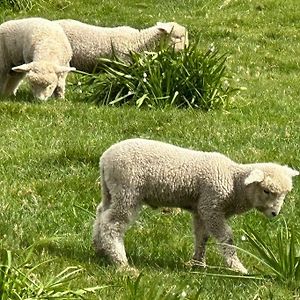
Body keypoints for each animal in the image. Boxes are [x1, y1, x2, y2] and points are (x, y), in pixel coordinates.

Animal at [92, 138, 298, 274]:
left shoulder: (201, 209)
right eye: (266, 191)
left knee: (101, 213)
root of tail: (105, 158)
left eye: (285, 193)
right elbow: (226, 237)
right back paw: (121, 262)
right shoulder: (211, 206)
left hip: (111, 190)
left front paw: (199, 264)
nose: (275, 213)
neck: (234, 183)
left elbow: (202, 236)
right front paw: (237, 268)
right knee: (112, 225)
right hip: (128, 191)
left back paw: (99, 247)